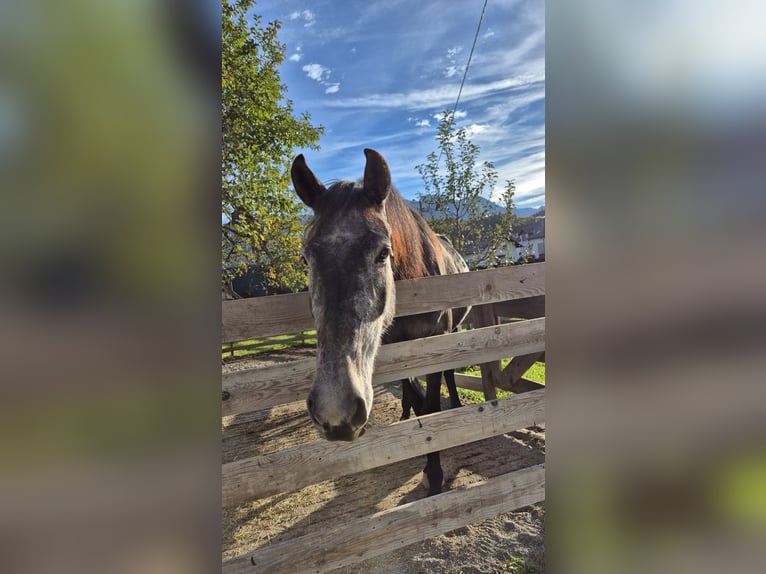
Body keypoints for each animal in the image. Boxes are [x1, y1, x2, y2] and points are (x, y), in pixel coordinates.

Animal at [291, 148, 471, 496]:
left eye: (383, 253)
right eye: (306, 257)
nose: (335, 413)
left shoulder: (433, 342)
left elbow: (431, 403)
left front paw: (434, 473)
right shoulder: (392, 346)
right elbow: (416, 398)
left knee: (451, 372)